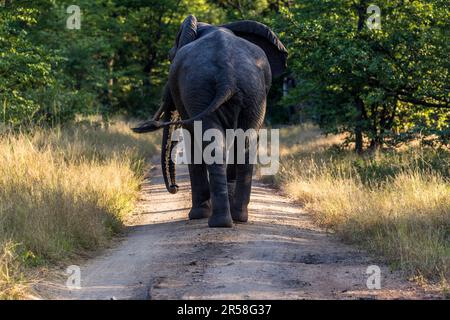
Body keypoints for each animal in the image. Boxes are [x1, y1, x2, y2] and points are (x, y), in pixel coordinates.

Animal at [133, 14, 288, 228]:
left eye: (169, 58)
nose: (175, 187)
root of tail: (227, 75)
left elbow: (191, 136)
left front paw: (198, 215)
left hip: (204, 90)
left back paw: (217, 221)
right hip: (249, 94)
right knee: (245, 144)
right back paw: (237, 218)